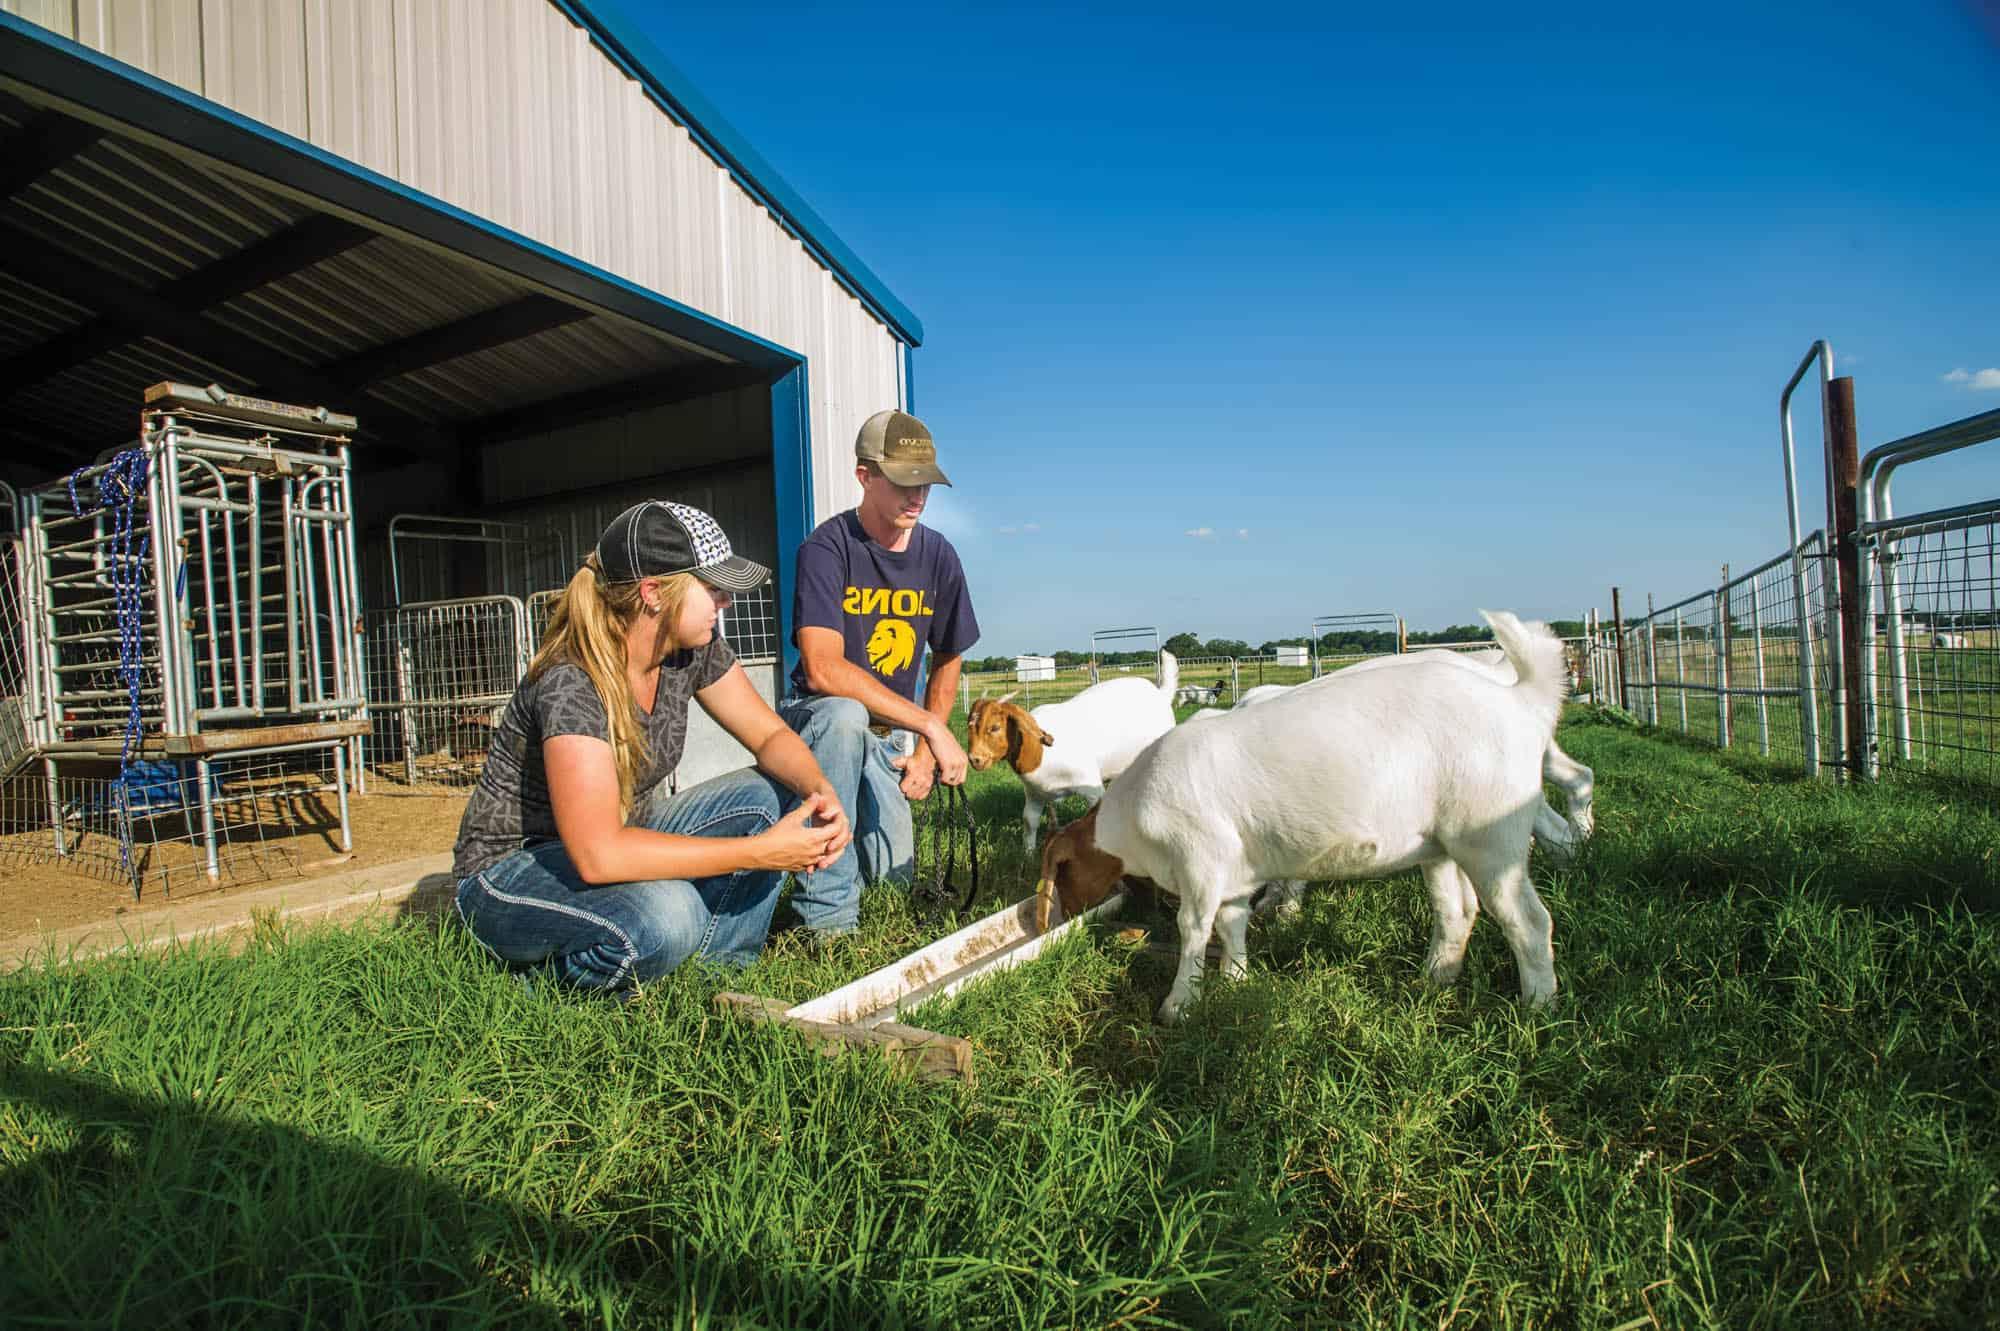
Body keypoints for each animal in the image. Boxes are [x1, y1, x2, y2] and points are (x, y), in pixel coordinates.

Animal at [1040, 607, 1568, 1019]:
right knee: (1458, 910)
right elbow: (1231, 923)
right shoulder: (1235, 872)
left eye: (1062, 871)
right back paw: (1435, 978)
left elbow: (1193, 928)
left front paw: (1178, 1006)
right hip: (1442, 846)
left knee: (1529, 920)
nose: (1064, 918)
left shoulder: (1201, 860)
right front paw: (1235, 979)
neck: (1130, 821)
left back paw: (1537, 1008)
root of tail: (1522, 700)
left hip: (1491, 838)